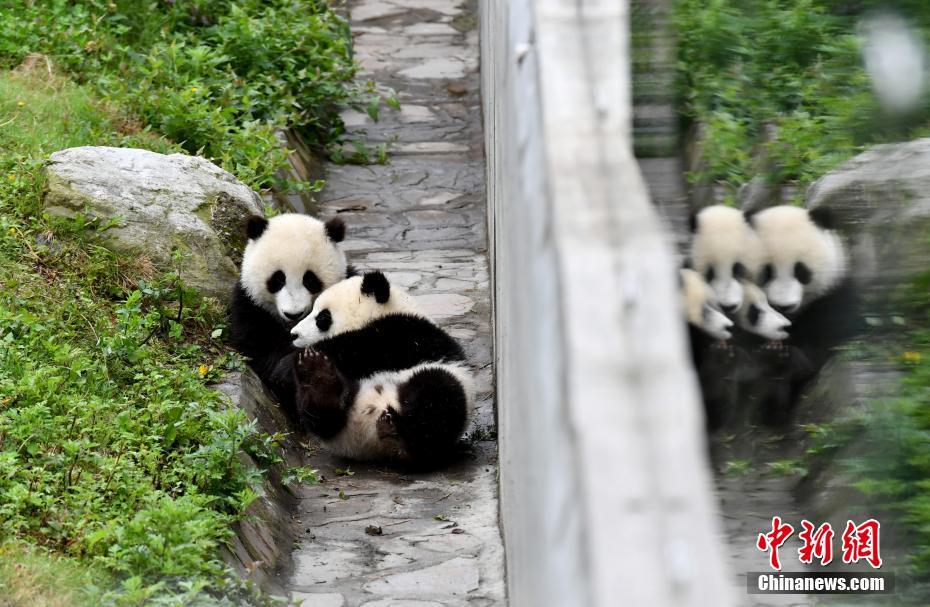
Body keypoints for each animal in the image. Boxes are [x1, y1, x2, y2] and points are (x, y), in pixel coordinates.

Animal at [288, 274, 472, 464]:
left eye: (323, 317)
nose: (293, 334)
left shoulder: (406, 334)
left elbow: (364, 347)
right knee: (322, 415)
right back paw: (316, 375)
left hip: (444, 388)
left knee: (436, 396)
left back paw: (397, 433)